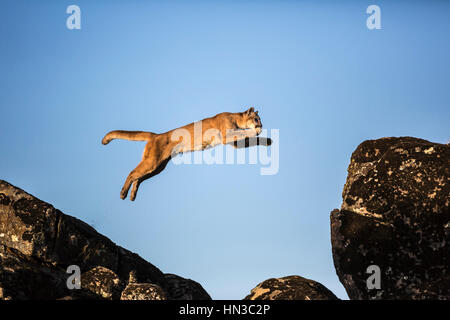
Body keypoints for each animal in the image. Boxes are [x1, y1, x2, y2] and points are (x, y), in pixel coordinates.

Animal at [102, 109, 270, 201]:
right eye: (256, 119)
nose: (261, 125)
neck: (235, 117)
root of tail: (156, 135)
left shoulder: (233, 142)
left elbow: (248, 140)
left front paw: (267, 140)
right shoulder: (227, 135)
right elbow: (245, 133)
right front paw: (257, 131)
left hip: (157, 167)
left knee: (139, 177)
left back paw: (132, 195)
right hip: (153, 162)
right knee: (132, 173)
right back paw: (123, 193)